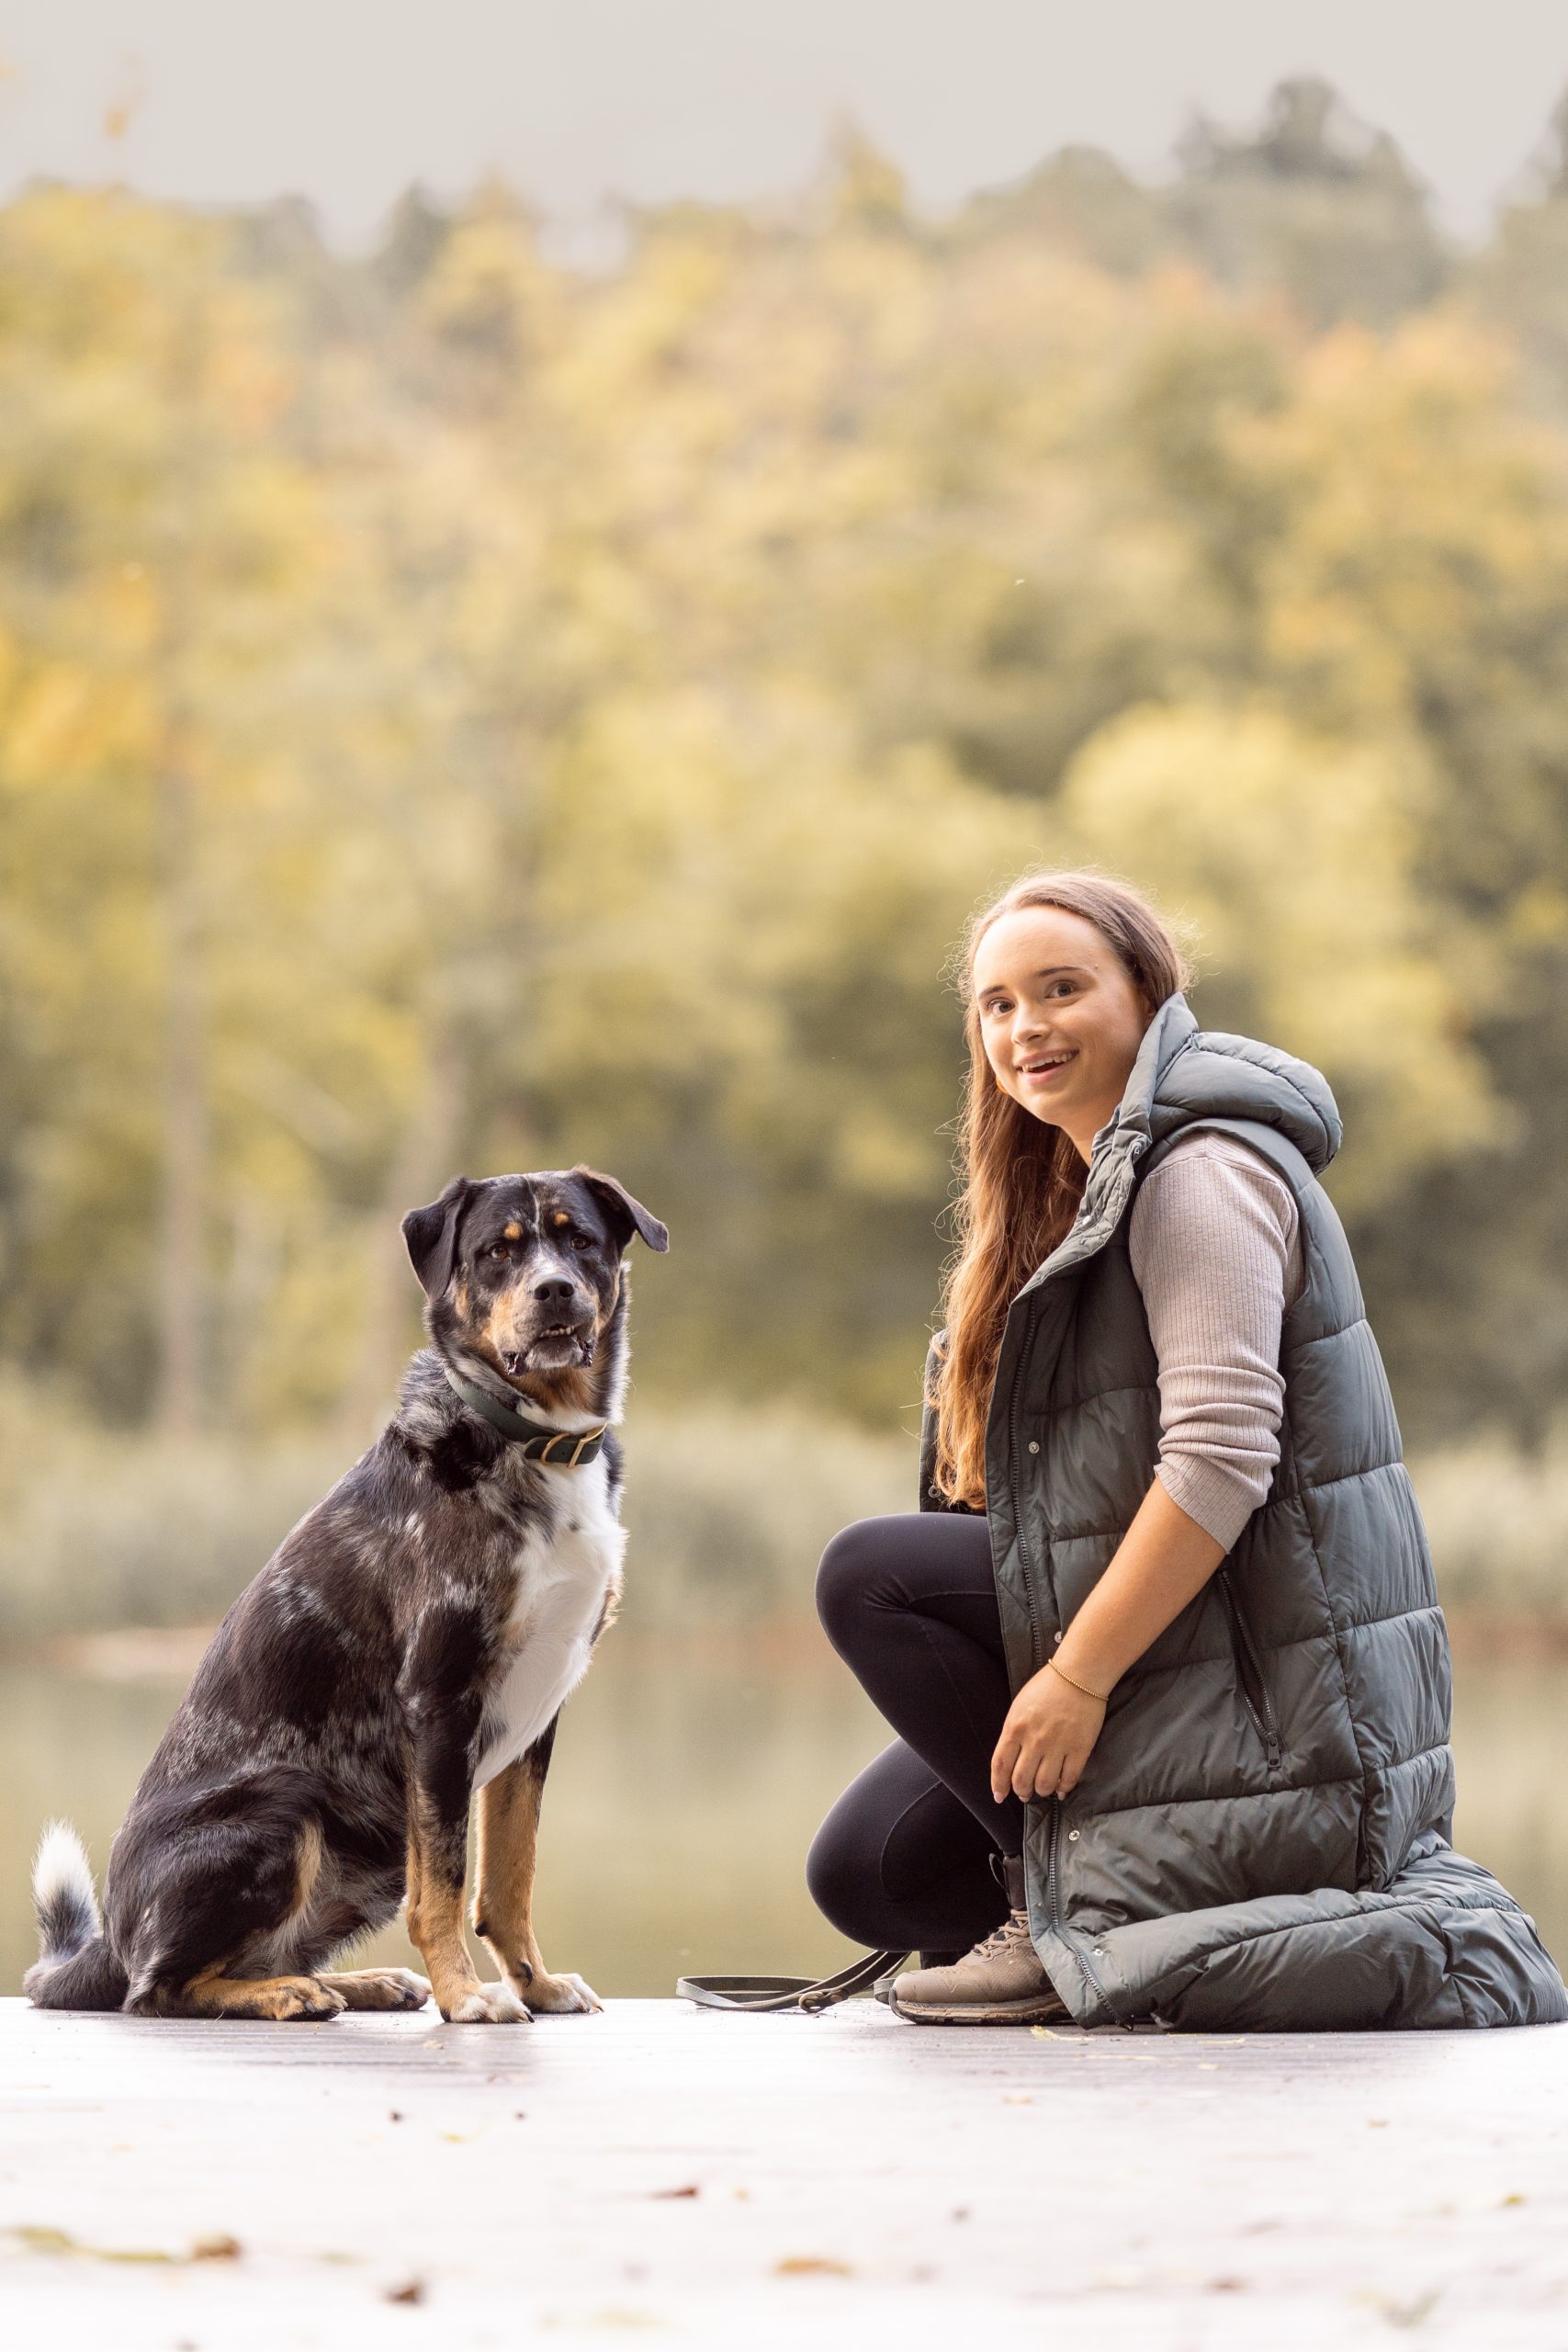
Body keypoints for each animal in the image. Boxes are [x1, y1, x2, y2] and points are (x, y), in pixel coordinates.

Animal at [21, 1157, 667, 2022]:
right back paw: (287, 1994)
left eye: (579, 1241)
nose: (554, 1290)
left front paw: (534, 1982)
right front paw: (466, 1995)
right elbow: (446, 1886)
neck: (535, 1441)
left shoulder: (538, 1713)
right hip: (287, 1808)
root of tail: (110, 1941)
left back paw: (354, 1982)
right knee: (157, 1990)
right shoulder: (440, 1698)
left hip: (369, 1857)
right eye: (497, 1253)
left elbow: (509, 1876)